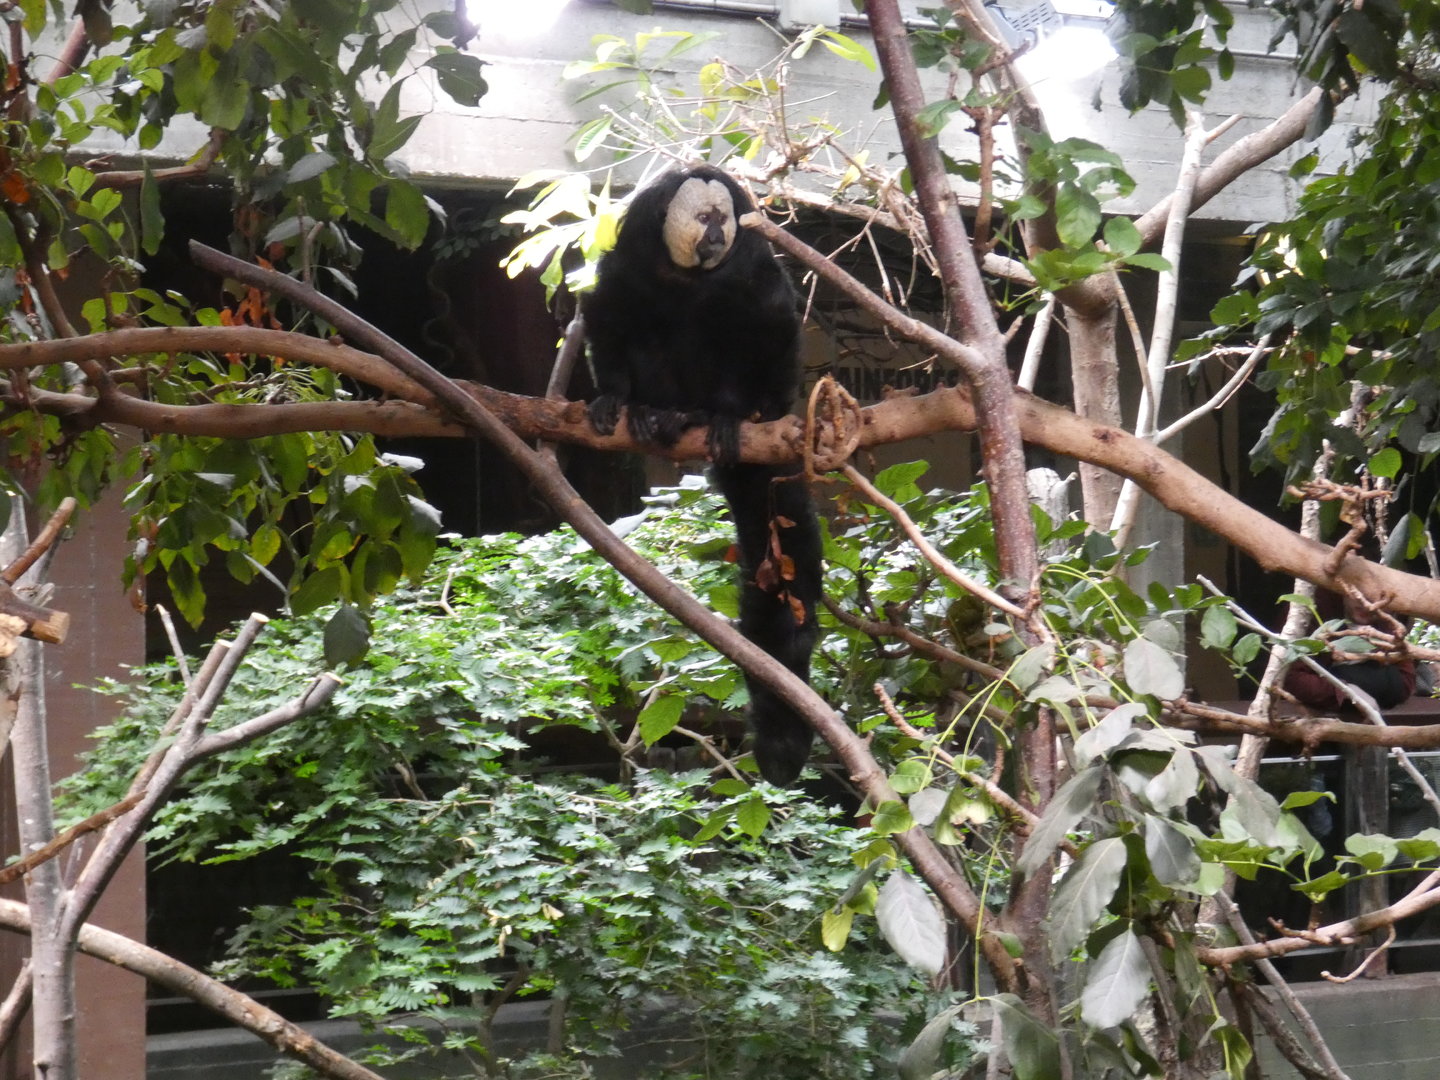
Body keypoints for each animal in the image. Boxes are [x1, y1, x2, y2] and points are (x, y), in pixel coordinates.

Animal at [582, 164, 821, 786]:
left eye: (723, 220)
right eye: (706, 217)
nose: (716, 235)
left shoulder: (754, 267)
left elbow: (770, 319)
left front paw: (736, 412)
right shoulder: (630, 259)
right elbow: (610, 310)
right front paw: (614, 399)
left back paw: (713, 417)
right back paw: (658, 414)